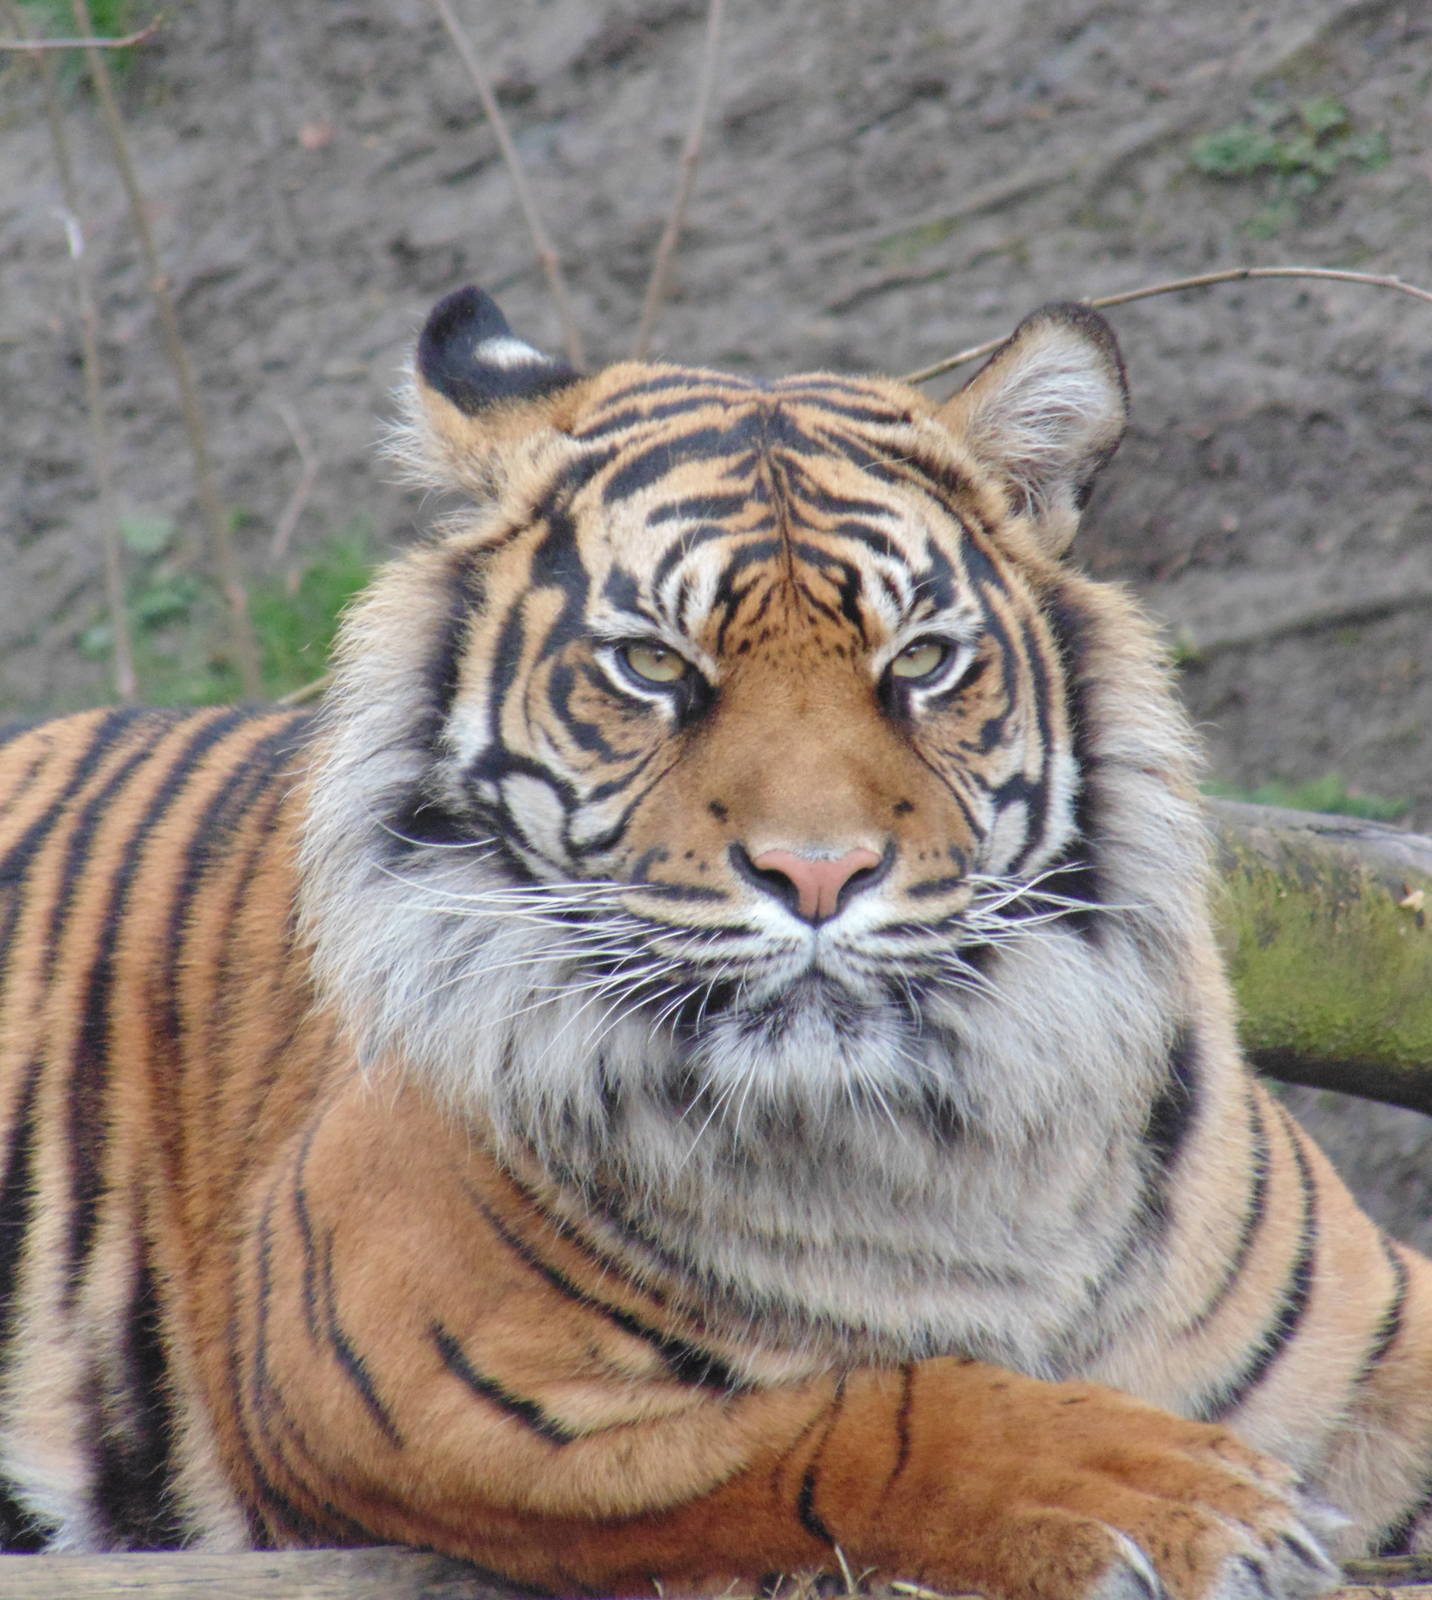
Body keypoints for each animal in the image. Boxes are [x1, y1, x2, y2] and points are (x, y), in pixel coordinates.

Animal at [0, 283, 1429, 1600]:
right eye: (649, 665)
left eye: (921, 660)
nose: (819, 871)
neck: (943, 1155)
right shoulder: (400, 1371)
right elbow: (862, 1413)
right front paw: (1161, 1491)